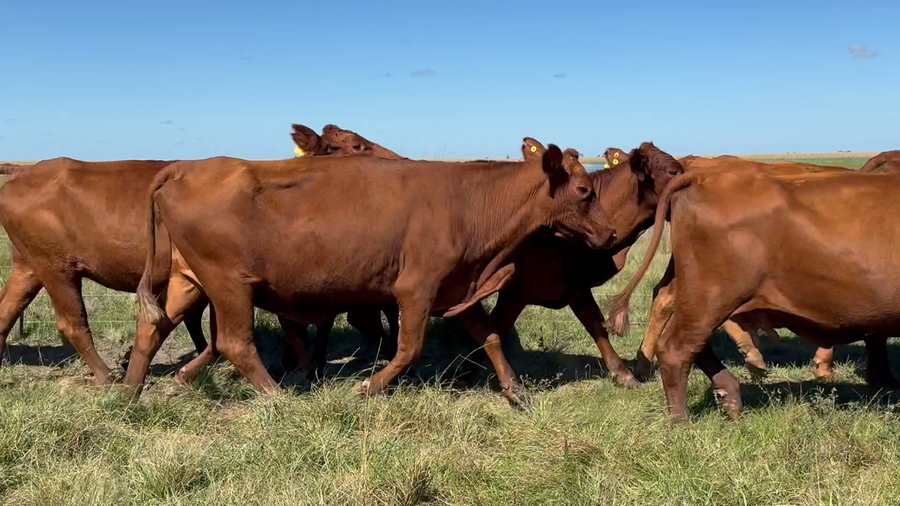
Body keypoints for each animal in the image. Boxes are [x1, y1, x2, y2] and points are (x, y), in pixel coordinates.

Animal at [0, 123, 399, 382]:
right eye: (357, 145)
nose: (400, 161)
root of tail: (26, 172)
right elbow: (234, 336)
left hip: (29, 267)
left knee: (7, 309)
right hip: (57, 269)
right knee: (73, 323)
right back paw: (107, 375)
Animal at [132, 143, 617, 404]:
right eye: (584, 190)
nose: (611, 232)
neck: (468, 203)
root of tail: (183, 168)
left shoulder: (456, 288)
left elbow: (492, 337)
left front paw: (516, 391)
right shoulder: (416, 289)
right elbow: (408, 348)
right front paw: (367, 387)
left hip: (189, 281)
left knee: (150, 328)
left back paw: (130, 391)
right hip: (230, 285)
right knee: (235, 343)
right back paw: (279, 398)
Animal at [607, 169, 900, 419]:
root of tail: (703, 177)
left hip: (699, 298)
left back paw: (729, 397)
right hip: (709, 297)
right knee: (675, 349)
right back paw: (682, 420)